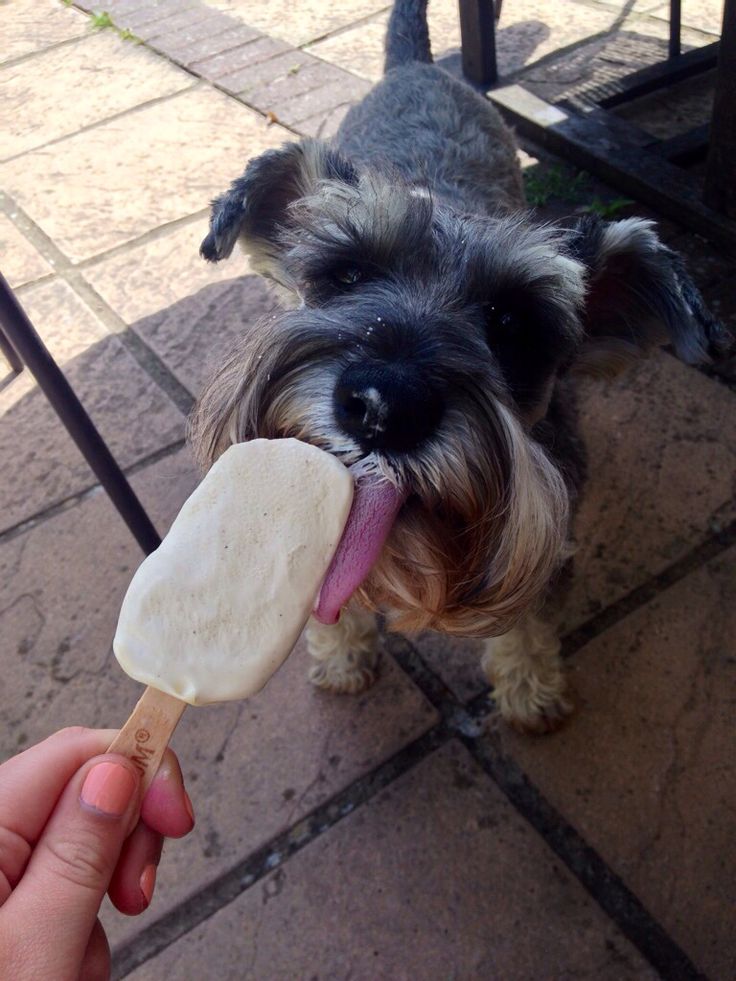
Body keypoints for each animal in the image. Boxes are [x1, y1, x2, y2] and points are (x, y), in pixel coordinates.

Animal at [191, 0, 732, 736]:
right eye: (345, 272)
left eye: (512, 324)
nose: (385, 406)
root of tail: (418, 66)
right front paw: (341, 654)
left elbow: (527, 623)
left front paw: (531, 692)